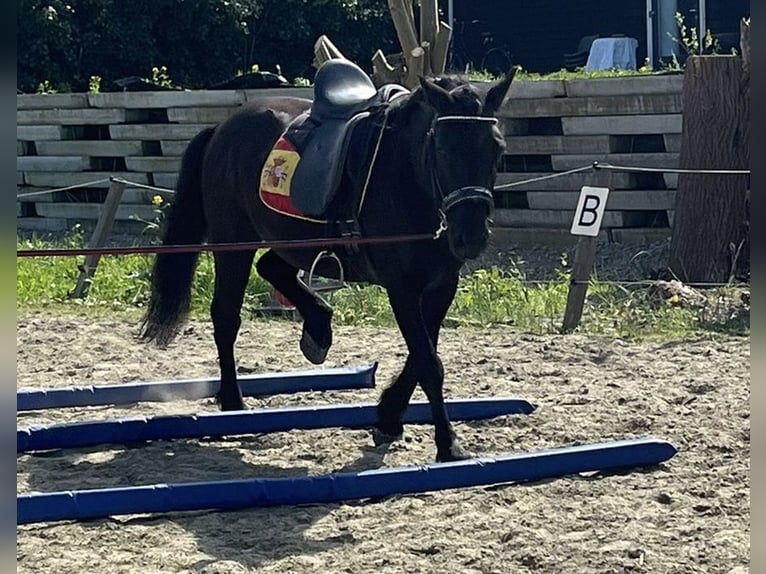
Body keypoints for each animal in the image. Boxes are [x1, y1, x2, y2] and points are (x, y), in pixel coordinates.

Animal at [139, 59, 515, 462]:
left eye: (497, 150)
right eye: (441, 148)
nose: (470, 237)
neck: (409, 177)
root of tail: (224, 127)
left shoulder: (442, 285)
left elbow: (421, 357)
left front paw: (388, 416)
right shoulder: (401, 286)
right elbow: (429, 362)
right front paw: (448, 444)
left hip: (292, 240)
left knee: (271, 267)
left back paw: (318, 328)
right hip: (234, 243)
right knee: (226, 317)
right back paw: (234, 404)